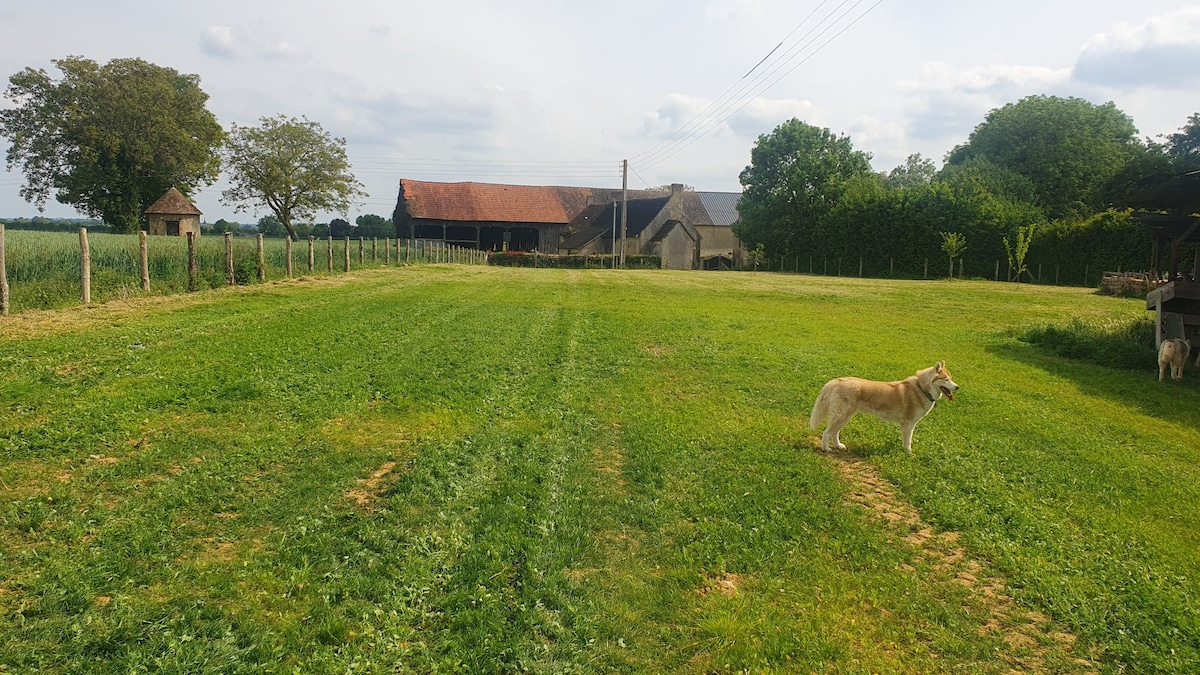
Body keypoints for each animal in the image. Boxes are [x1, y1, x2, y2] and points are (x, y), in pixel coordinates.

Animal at [811, 360, 960, 454]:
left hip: (845, 417)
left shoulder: (909, 425)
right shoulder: (908, 424)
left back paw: (839, 446)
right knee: (826, 433)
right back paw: (826, 449)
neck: (921, 389)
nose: (957, 387)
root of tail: (838, 380)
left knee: (834, 433)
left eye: (951, 378)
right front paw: (909, 454)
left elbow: (906, 441)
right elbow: (908, 442)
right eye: (946, 379)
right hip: (841, 416)